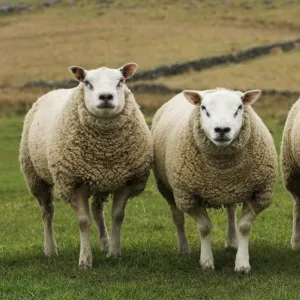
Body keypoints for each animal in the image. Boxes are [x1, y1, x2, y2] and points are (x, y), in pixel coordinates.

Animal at [19, 62, 152, 268]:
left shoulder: (126, 181)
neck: (105, 149)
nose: (105, 97)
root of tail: (54, 90)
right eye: (87, 83)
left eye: (121, 81)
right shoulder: (74, 182)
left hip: (101, 180)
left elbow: (117, 216)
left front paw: (114, 252)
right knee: (47, 212)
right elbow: (83, 222)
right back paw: (50, 249)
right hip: (35, 177)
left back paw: (104, 243)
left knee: (97, 211)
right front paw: (85, 260)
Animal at [154, 88, 278, 274]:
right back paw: (183, 249)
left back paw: (232, 242)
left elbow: (244, 227)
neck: (222, 171)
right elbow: (204, 228)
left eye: (239, 107)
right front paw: (206, 263)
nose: (222, 129)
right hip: (167, 188)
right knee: (177, 217)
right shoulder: (189, 197)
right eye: (204, 108)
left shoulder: (259, 193)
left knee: (231, 211)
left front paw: (242, 264)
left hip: (232, 190)